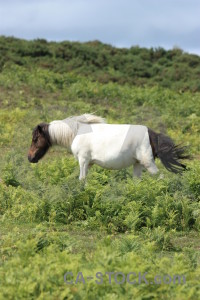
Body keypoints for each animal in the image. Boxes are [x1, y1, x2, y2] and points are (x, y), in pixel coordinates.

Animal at [27, 112, 189, 178]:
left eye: (35, 139)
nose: (30, 157)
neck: (77, 131)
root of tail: (151, 133)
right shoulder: (88, 163)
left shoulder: (83, 160)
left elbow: (81, 179)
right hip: (137, 164)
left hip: (148, 163)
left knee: (160, 177)